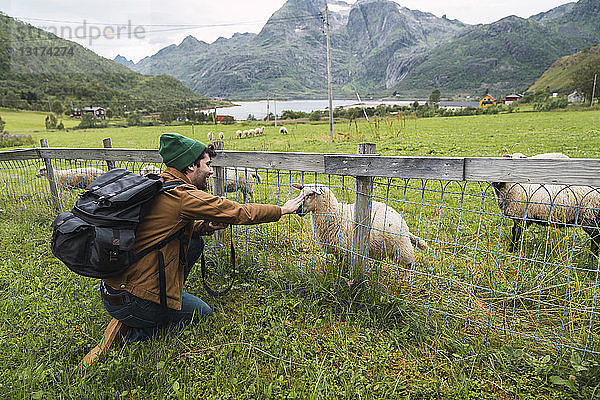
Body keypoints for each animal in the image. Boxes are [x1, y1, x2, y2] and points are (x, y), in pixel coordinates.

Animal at [292, 184, 428, 266]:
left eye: (310, 194)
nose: (298, 210)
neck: (336, 214)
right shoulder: (338, 251)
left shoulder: (345, 251)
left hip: (401, 246)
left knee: (408, 264)